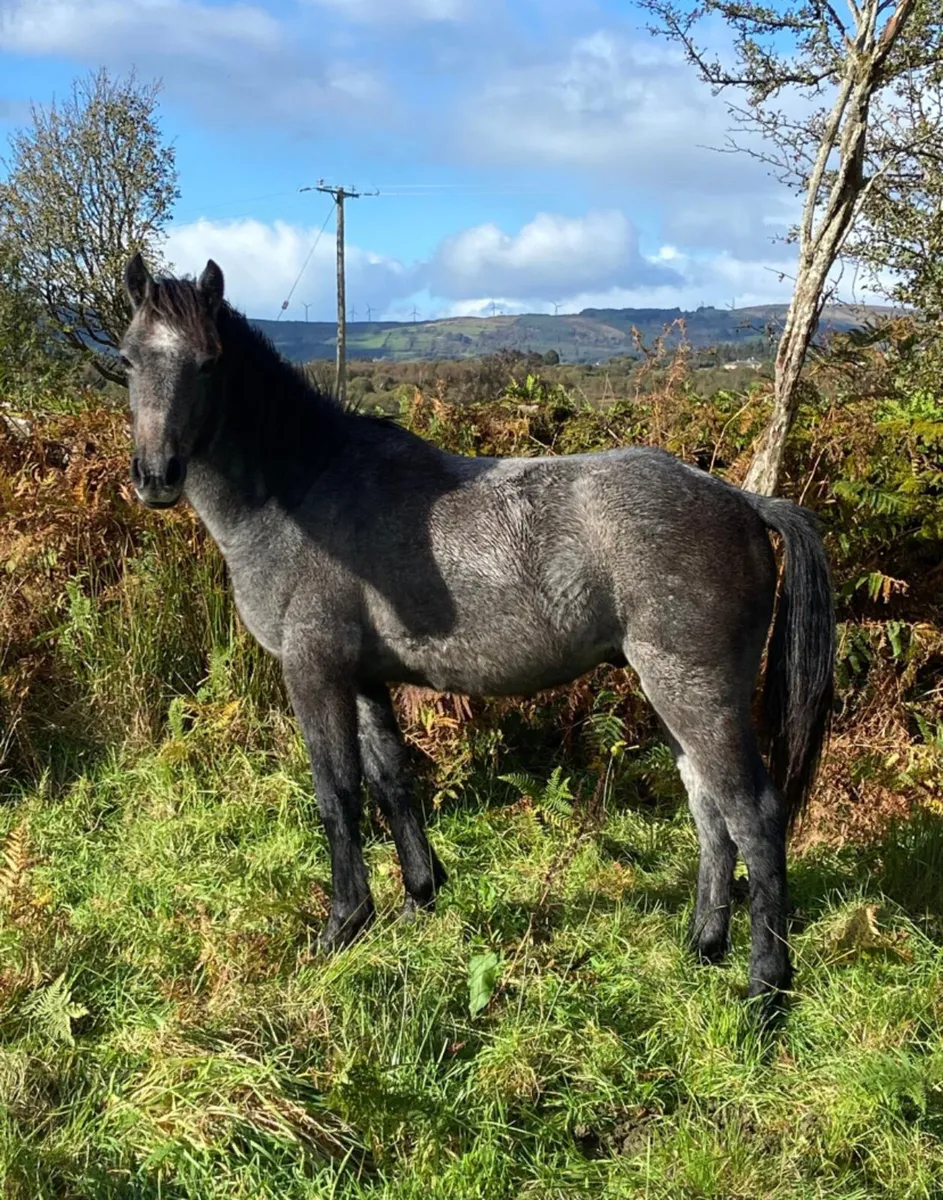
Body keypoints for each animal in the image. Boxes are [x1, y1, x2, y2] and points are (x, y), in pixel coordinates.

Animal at [119, 253, 834, 1001]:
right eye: (126, 360)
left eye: (208, 363)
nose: (156, 476)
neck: (303, 492)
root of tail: (741, 501)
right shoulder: (364, 676)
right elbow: (392, 781)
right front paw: (418, 896)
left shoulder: (313, 670)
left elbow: (337, 793)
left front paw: (343, 924)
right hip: (671, 696)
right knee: (708, 811)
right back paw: (702, 945)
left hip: (696, 693)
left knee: (753, 814)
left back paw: (765, 988)